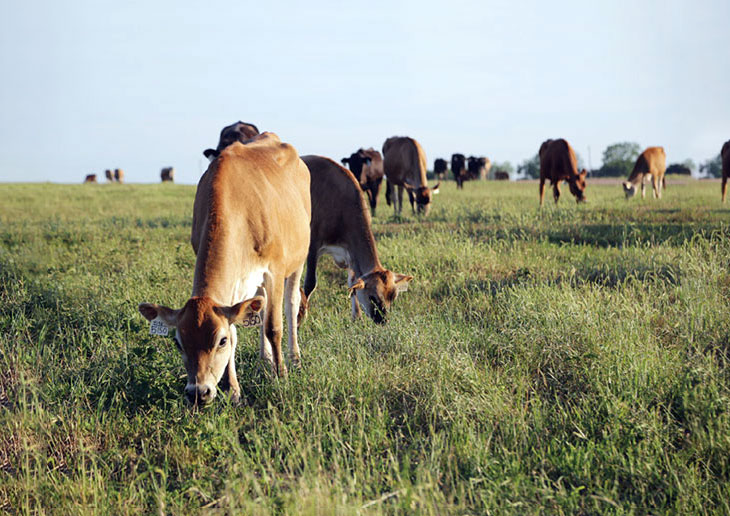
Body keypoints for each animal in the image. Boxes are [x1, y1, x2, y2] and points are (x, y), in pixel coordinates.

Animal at [137, 134, 310, 408]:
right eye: (178, 343)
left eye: (220, 341)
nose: (199, 392)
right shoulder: (233, 286)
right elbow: (237, 327)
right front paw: (234, 391)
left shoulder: (274, 270)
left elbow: (274, 327)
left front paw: (281, 376)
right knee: (260, 308)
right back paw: (264, 363)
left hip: (298, 260)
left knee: (290, 306)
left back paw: (294, 360)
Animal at [296, 153, 410, 324]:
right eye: (373, 297)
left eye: (393, 297)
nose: (384, 321)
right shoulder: (312, 246)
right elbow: (310, 283)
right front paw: (301, 316)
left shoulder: (349, 253)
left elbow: (352, 283)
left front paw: (356, 317)